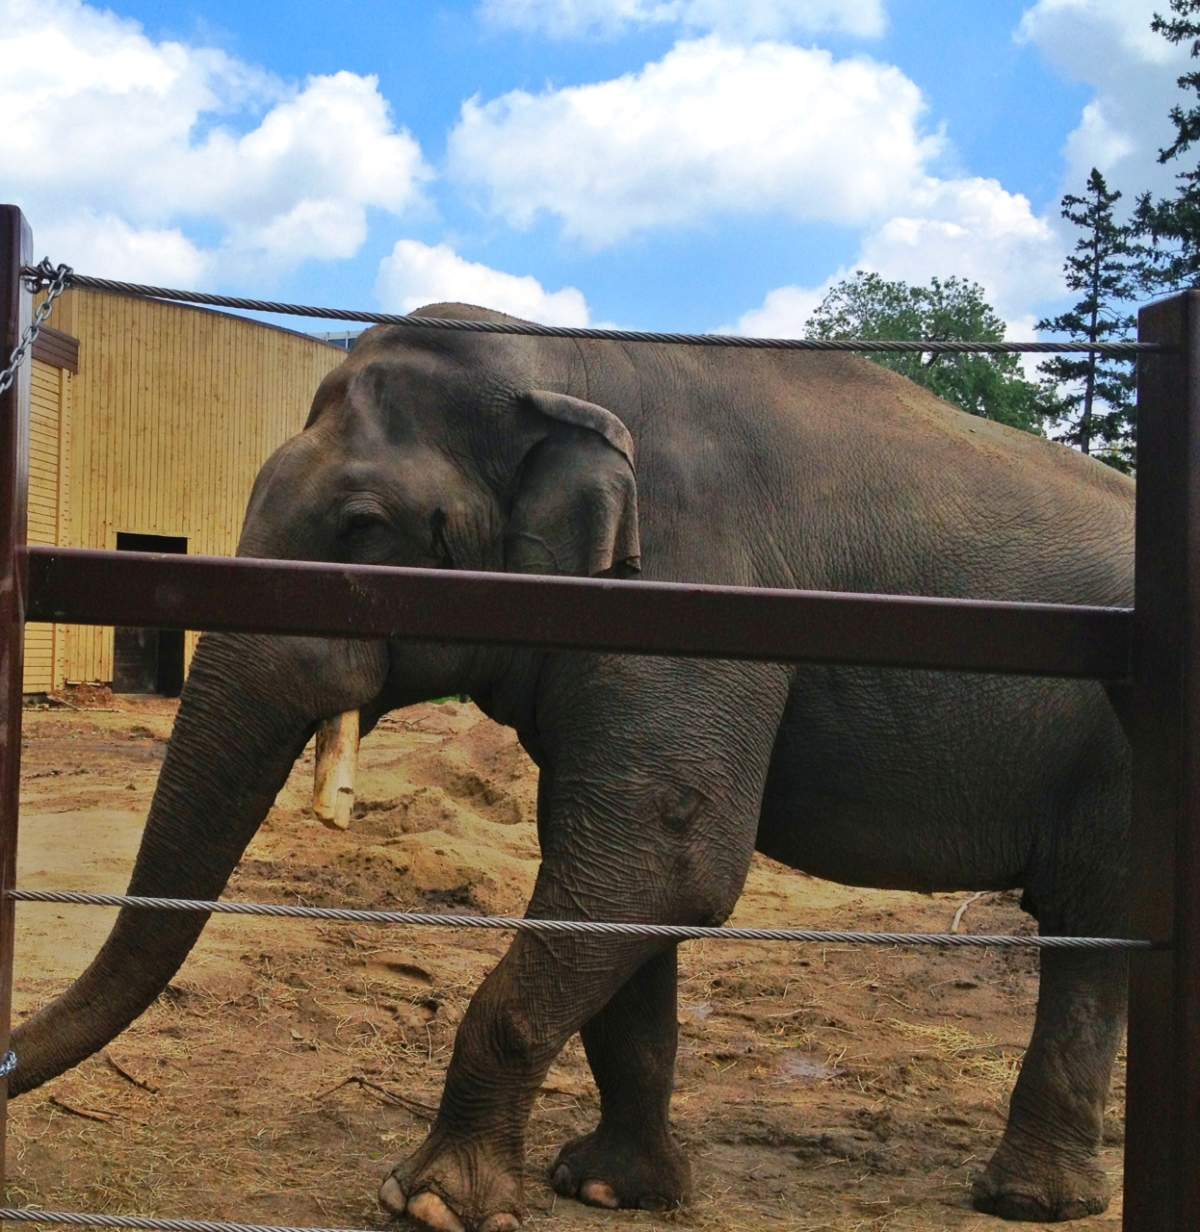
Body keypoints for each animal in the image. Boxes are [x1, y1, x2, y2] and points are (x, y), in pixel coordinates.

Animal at [9, 304, 1134, 1230]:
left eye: (364, 527)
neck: (565, 362)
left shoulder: (695, 600)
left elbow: (665, 867)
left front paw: (432, 1204)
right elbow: (629, 894)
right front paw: (608, 1188)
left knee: (1094, 922)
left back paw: (1027, 1200)